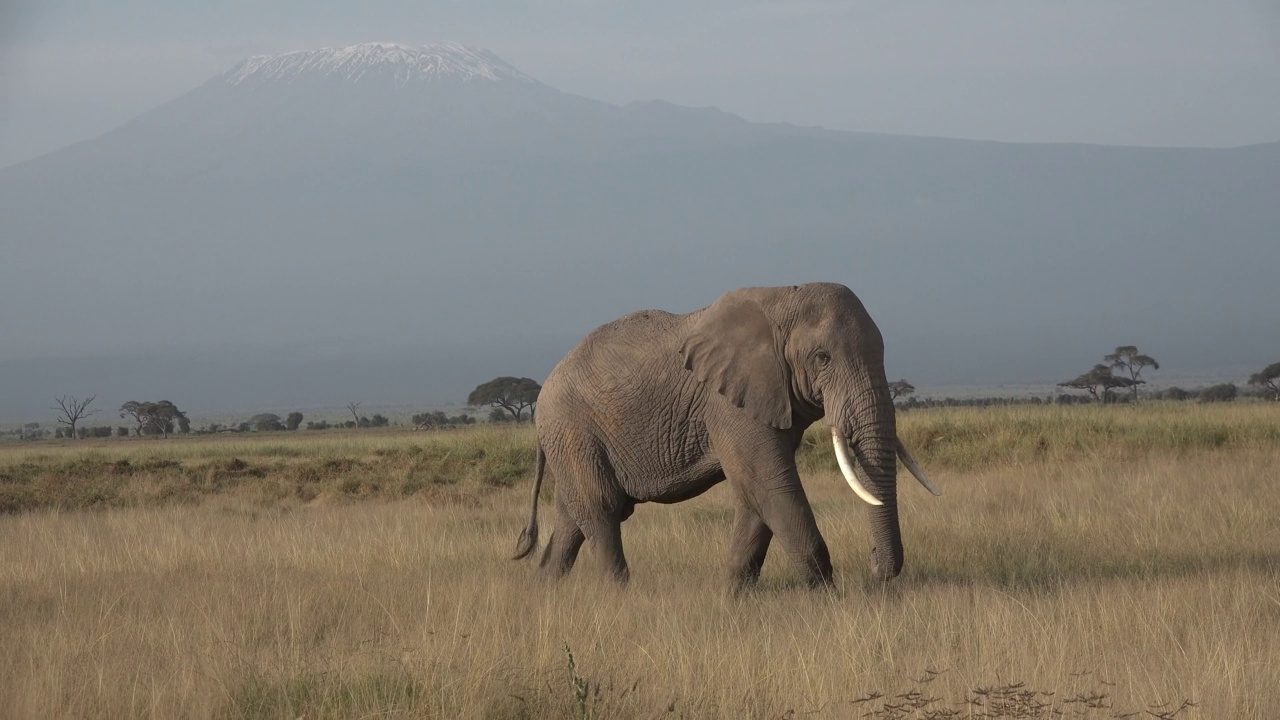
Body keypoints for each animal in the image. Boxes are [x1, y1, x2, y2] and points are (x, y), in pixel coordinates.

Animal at [512, 278, 942, 586]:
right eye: (822, 358)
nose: (875, 566)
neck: (783, 298)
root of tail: (544, 392)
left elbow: (757, 494)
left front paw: (736, 599)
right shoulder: (728, 402)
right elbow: (770, 482)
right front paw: (826, 602)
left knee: (572, 518)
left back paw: (545, 593)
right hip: (573, 430)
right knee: (601, 511)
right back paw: (617, 597)